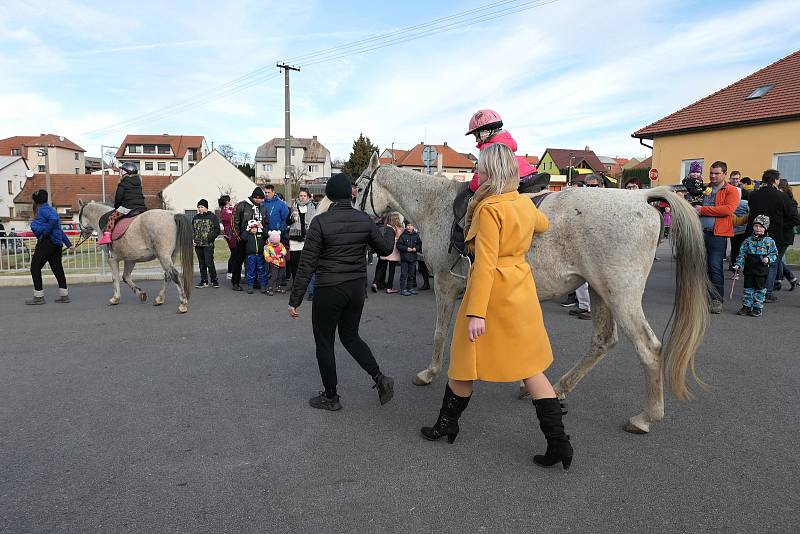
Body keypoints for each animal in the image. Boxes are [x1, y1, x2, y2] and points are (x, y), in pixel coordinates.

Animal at [356, 152, 708, 436]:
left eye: (359, 188)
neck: (436, 207)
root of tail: (643, 197)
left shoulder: (445, 284)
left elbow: (440, 332)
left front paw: (430, 373)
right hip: (600, 292)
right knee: (603, 341)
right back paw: (559, 387)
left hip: (620, 296)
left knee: (649, 349)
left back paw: (646, 417)